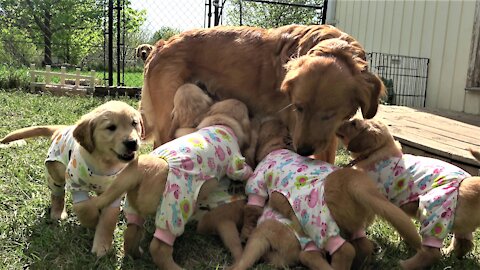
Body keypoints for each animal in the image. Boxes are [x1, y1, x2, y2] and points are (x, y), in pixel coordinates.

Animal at [0, 100, 142, 255]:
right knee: (57, 194)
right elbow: (83, 209)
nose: (132, 142)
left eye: (134, 123)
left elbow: (108, 219)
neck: (104, 163)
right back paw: (58, 212)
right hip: (56, 172)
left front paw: (102, 245)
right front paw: (93, 221)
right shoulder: (75, 184)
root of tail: (61, 130)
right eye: (111, 127)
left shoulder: (114, 190)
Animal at [91, 99, 253, 270]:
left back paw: (135, 254)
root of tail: (142, 168)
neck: (222, 122)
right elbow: (240, 170)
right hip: (173, 211)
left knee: (131, 232)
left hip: (134, 205)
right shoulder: (235, 161)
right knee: (159, 248)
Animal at [141, 24, 384, 163]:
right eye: (298, 108)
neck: (332, 46)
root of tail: (160, 45)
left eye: (329, 114)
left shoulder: (327, 135)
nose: (303, 151)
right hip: (167, 120)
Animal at [233, 119, 420, 270]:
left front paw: (244, 234)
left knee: (341, 250)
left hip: (318, 223)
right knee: (361, 244)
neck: (277, 147)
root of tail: (352, 183)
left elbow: (252, 208)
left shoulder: (257, 182)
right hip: (351, 226)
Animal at [336, 119, 480, 268]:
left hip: (435, 213)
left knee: (432, 253)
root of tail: (468, 182)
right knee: (465, 243)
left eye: (353, 124)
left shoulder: (369, 198)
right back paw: (449, 253)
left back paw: (404, 264)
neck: (379, 152)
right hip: (460, 223)